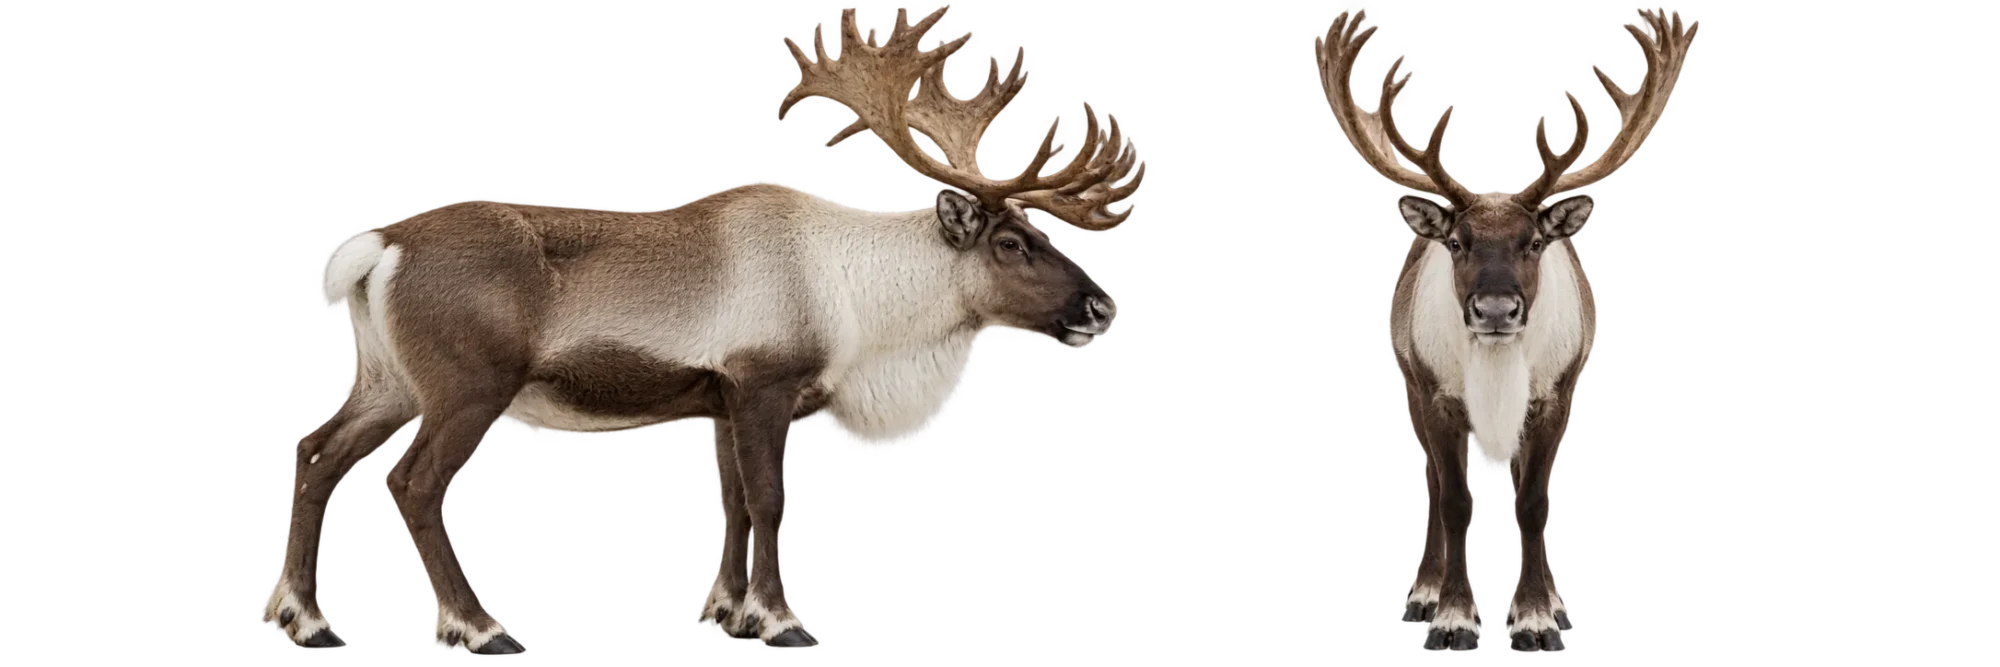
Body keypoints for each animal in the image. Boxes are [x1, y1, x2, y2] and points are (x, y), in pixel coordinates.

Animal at [263, 2, 1146, 654]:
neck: (856, 298)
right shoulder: (762, 385)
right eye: (1010, 242)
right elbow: (768, 499)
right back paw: (481, 629)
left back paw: (305, 622)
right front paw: (782, 622)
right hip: (467, 387)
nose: (1103, 309)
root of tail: (383, 245)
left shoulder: (719, 403)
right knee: (412, 484)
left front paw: (727, 612)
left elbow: (730, 501)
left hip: (387, 381)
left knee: (314, 452)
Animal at [1312, 0, 1700, 654]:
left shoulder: (1556, 397)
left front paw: (1538, 618)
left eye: (1535, 242)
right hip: (1410, 390)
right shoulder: (1434, 397)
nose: (1496, 310)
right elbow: (1453, 501)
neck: (1495, 374)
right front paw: (1452, 618)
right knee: (1432, 484)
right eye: (1458, 243)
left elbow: (1532, 501)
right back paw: (1423, 593)